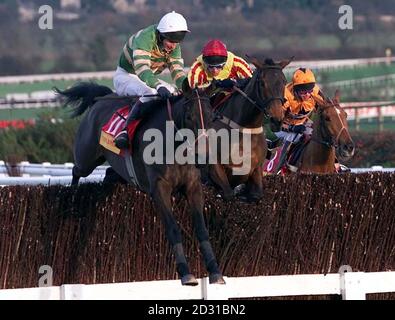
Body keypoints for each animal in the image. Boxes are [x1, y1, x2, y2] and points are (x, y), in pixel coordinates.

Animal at [55, 80, 226, 284]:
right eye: (188, 116)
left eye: (211, 117)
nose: (203, 156)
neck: (174, 146)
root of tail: (102, 98)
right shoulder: (159, 188)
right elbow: (173, 228)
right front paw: (185, 272)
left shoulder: (193, 186)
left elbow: (201, 229)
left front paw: (215, 271)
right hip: (87, 158)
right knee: (76, 170)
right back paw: (72, 193)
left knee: (109, 174)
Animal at [209, 57, 292, 200]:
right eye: (262, 83)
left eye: (284, 82)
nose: (276, 120)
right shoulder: (216, 168)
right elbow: (228, 194)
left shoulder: (256, 170)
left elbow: (256, 195)